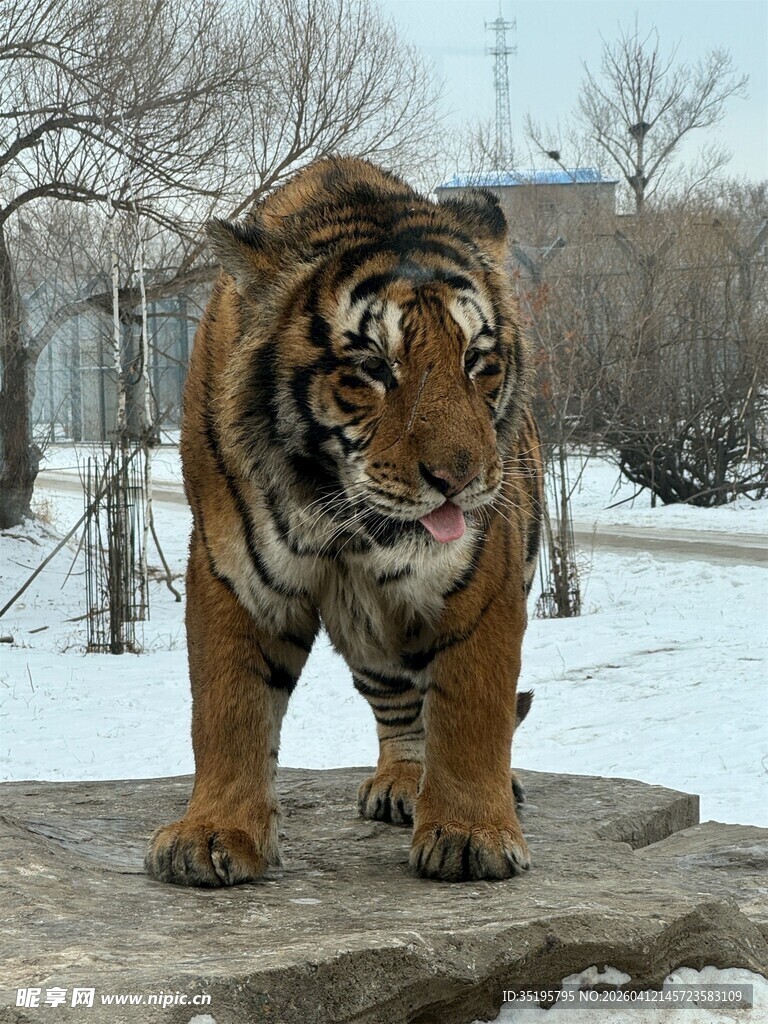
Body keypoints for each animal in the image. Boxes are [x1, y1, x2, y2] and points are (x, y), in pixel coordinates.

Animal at [144, 156, 543, 887]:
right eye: (372, 368)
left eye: (478, 361)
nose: (460, 478)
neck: (347, 519)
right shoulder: (231, 569)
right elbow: (228, 710)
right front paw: (212, 835)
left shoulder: (483, 575)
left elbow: (474, 707)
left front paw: (472, 835)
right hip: (372, 640)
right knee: (402, 706)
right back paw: (403, 781)